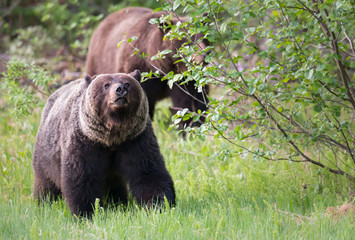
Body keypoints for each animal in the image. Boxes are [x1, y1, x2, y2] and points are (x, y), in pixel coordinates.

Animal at [31, 70, 175, 218]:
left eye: (127, 83)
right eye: (106, 85)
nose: (120, 89)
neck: (112, 137)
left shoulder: (135, 140)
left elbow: (148, 172)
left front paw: (158, 205)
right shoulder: (85, 142)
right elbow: (82, 177)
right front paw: (85, 212)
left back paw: (118, 203)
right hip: (46, 153)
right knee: (45, 183)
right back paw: (43, 204)